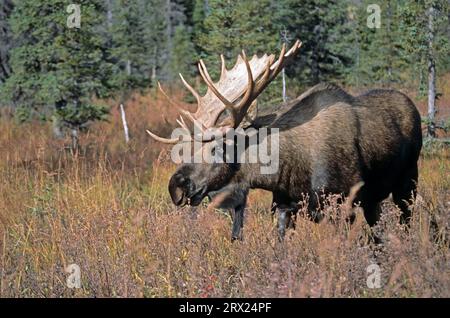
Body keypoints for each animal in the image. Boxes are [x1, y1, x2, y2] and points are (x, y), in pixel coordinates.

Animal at [148, 40, 422, 241]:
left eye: (217, 148)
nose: (175, 186)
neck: (287, 167)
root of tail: (414, 108)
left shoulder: (343, 204)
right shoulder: (283, 205)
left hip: (407, 182)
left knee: (406, 221)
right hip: (375, 198)